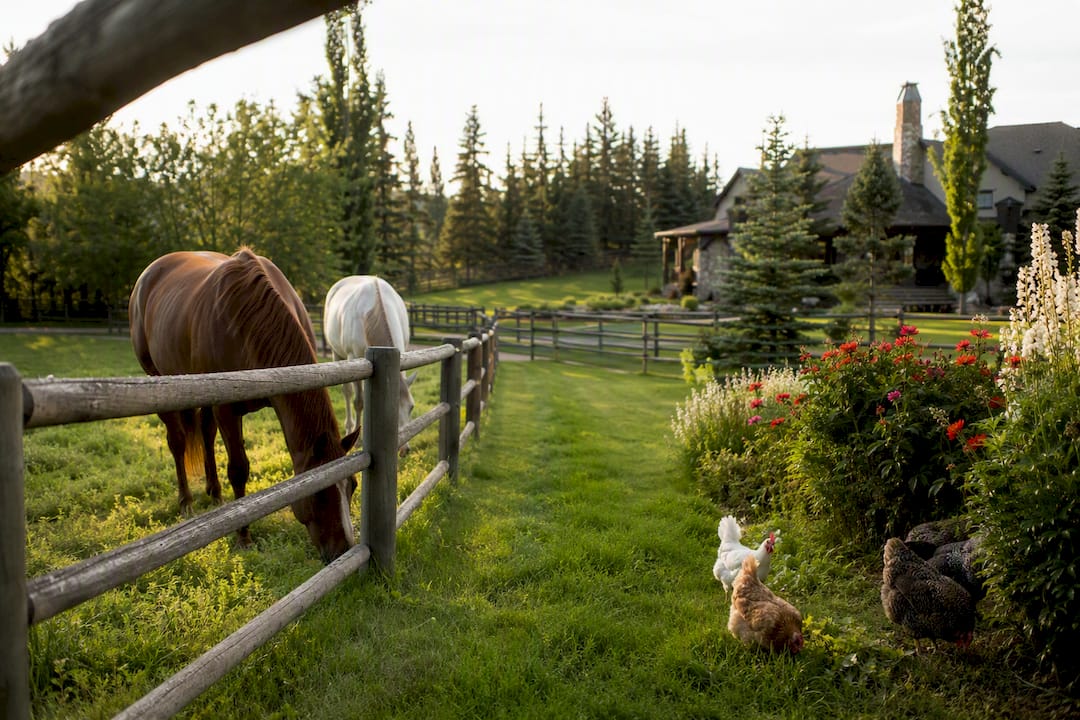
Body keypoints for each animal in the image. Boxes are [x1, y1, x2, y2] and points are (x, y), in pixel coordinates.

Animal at [129, 248, 359, 562]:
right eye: (318, 492)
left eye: (352, 486)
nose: (343, 549)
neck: (250, 320)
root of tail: (149, 274)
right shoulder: (227, 408)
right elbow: (239, 469)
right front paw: (243, 537)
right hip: (159, 380)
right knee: (177, 442)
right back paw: (186, 502)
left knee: (206, 432)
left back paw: (215, 494)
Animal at [323, 276, 416, 452]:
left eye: (411, 407)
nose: (404, 449)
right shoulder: (353, 358)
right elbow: (359, 402)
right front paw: (358, 441)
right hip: (336, 354)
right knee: (347, 392)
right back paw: (350, 427)